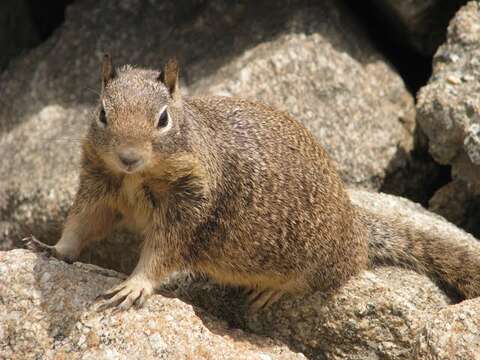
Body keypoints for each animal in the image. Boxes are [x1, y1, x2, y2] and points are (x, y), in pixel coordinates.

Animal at [27, 54, 480, 310]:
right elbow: (83, 223)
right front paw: (53, 247)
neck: (136, 178)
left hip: (321, 259)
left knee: (328, 277)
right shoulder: (99, 184)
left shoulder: (193, 207)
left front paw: (135, 285)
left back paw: (274, 292)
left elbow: (162, 252)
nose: (128, 156)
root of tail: (356, 226)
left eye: (163, 119)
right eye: (103, 113)